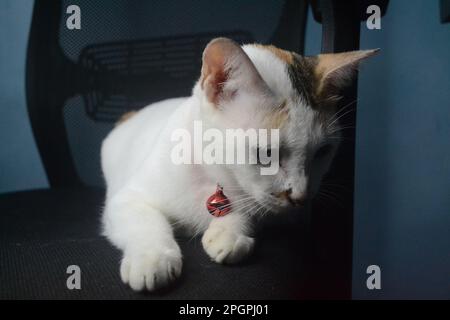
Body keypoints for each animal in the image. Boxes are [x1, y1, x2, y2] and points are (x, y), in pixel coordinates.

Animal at [101, 37, 376, 290]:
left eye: (322, 152)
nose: (300, 197)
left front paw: (230, 232)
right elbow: (142, 218)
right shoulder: (124, 199)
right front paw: (152, 258)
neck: (212, 174)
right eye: (266, 154)